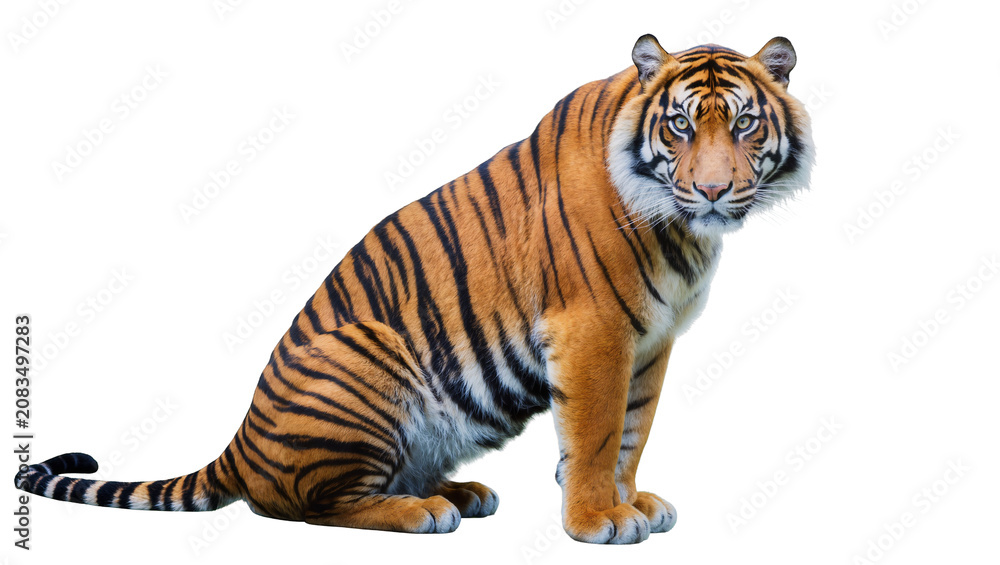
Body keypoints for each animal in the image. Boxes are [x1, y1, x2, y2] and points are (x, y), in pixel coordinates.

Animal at [16, 34, 813, 544]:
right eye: (679, 126)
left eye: (744, 123)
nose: (712, 190)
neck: (683, 231)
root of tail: (239, 442)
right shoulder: (593, 331)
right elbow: (593, 434)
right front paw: (598, 521)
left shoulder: (651, 341)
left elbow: (632, 431)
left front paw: (632, 500)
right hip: (364, 351)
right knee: (297, 505)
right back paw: (421, 512)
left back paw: (457, 491)